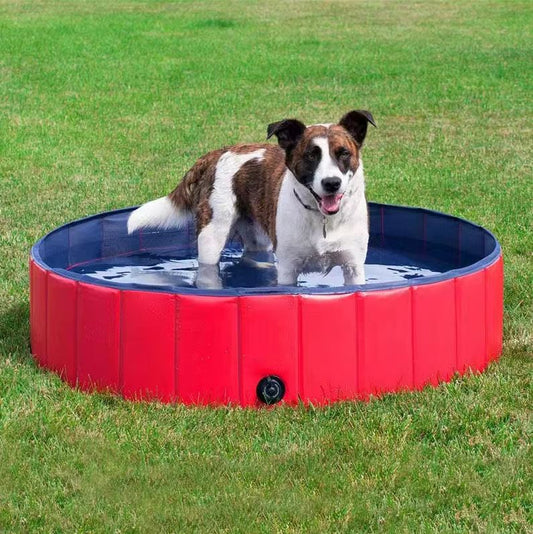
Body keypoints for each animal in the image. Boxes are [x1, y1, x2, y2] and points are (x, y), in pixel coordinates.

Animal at [128, 108, 374, 288]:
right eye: (311, 156)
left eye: (344, 153)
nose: (331, 183)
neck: (323, 219)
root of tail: (217, 153)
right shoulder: (289, 268)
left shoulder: (353, 266)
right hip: (211, 235)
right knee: (208, 265)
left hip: (256, 233)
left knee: (252, 253)